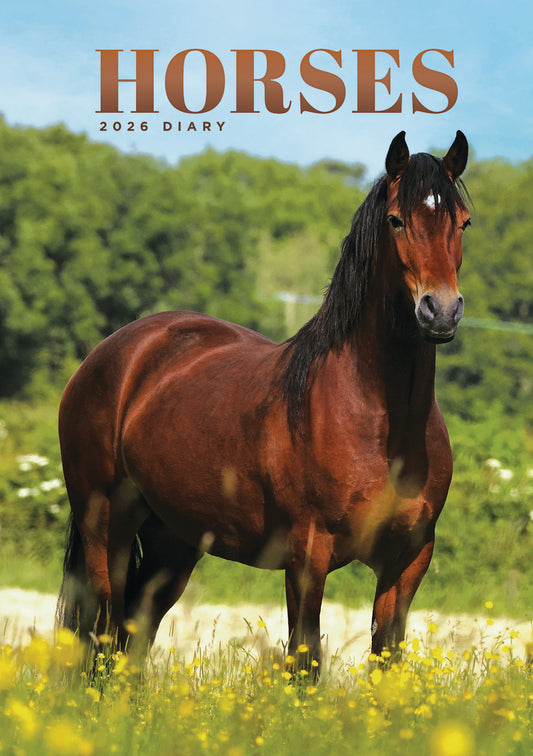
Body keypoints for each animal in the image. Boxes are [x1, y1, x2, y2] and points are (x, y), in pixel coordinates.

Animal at [56, 130, 470, 671]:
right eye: (396, 220)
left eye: (463, 222)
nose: (440, 311)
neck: (384, 424)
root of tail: (110, 352)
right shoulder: (309, 555)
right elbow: (304, 659)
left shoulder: (408, 561)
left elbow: (388, 662)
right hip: (105, 524)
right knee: (104, 633)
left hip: (174, 540)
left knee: (134, 634)